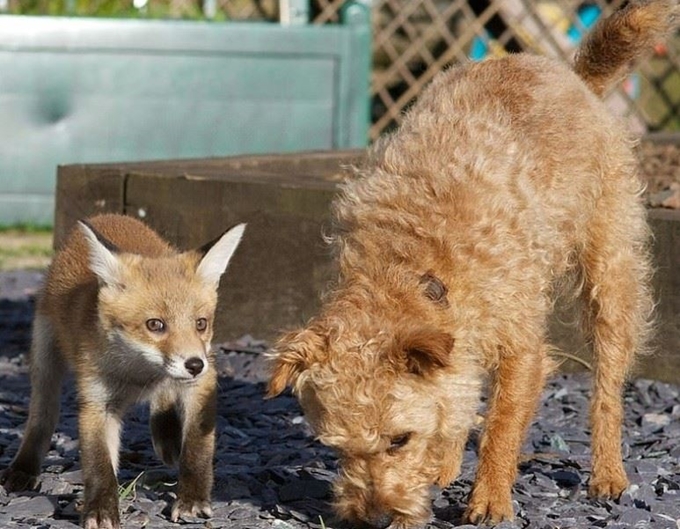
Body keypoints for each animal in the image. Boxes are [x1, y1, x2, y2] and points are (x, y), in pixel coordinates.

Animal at [266, 2, 676, 524]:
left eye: (399, 440)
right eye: (338, 448)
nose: (375, 516)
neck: (410, 264)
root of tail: (571, 75)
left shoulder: (523, 348)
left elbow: (501, 424)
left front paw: (489, 498)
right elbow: (459, 400)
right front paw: (445, 464)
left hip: (610, 276)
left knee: (607, 387)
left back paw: (607, 473)